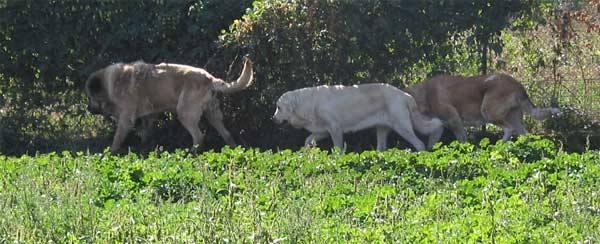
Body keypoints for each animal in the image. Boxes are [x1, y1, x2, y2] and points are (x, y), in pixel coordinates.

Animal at [85, 58, 253, 152]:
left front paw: (111, 152)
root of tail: (210, 79)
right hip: (213, 115)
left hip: (185, 113)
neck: (110, 85)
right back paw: (233, 150)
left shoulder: (125, 119)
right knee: (227, 134)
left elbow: (117, 138)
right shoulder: (148, 117)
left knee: (199, 136)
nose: (88, 109)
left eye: (90, 96)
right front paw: (144, 148)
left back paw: (191, 153)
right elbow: (146, 133)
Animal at [274, 85, 442, 152]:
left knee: (419, 144)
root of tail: (405, 95)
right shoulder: (322, 131)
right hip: (382, 129)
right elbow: (307, 140)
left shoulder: (335, 129)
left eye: (279, 107)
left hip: (402, 127)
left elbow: (338, 148)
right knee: (382, 148)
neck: (306, 103)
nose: (273, 118)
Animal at [406, 73, 560, 148]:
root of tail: (518, 84)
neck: (425, 94)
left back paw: (498, 148)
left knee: (509, 129)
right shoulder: (440, 127)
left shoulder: (455, 121)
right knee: (524, 134)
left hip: (488, 112)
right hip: (513, 118)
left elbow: (463, 141)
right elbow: (431, 145)